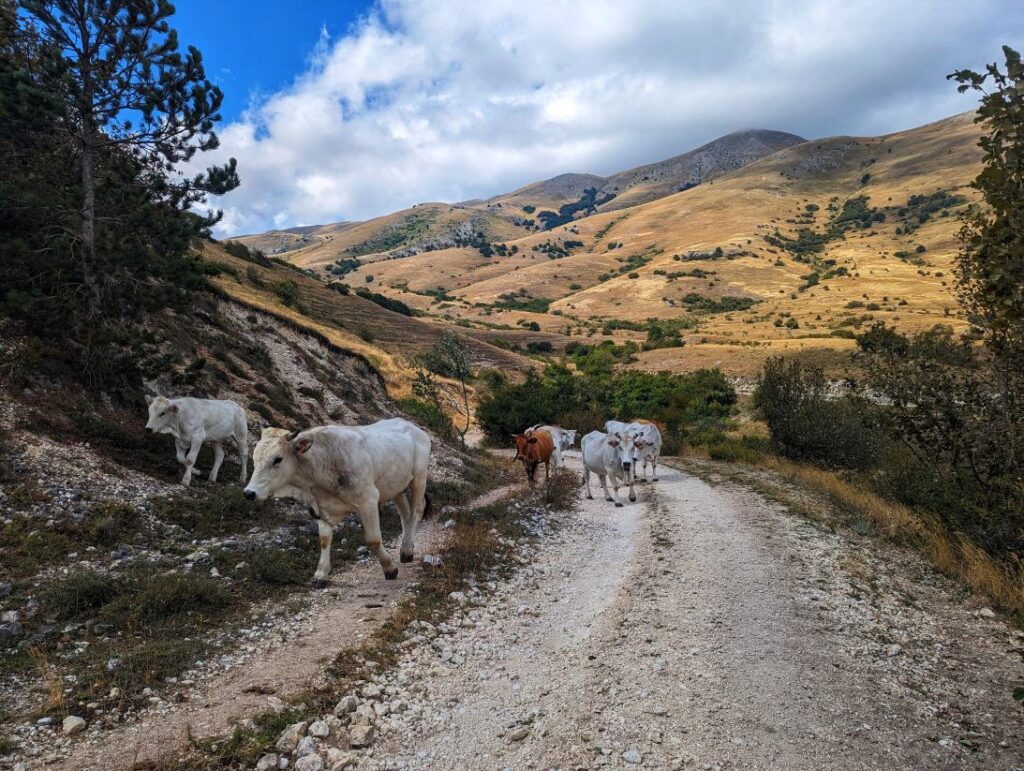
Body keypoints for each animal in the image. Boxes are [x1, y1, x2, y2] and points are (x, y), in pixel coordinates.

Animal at [244, 417, 432, 585]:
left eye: (277, 459)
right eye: (254, 457)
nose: (249, 492)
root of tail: (412, 426)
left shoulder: (368, 500)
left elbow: (373, 540)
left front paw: (389, 568)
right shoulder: (321, 507)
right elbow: (324, 540)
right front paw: (321, 574)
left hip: (419, 478)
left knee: (416, 511)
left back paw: (406, 550)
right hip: (395, 487)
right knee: (405, 513)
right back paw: (406, 548)